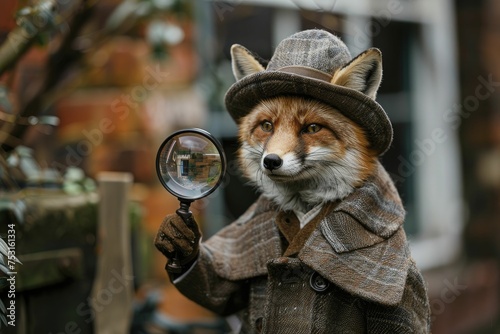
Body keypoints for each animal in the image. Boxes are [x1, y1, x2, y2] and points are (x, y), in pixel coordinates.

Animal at [156, 30, 430, 332]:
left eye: (312, 128)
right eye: (266, 126)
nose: (271, 161)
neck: (303, 207)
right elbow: (219, 290)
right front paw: (182, 243)